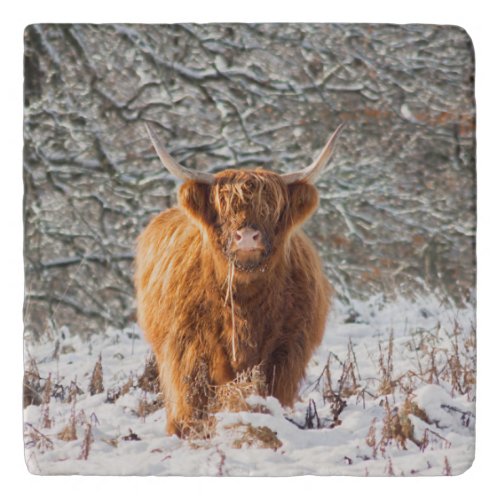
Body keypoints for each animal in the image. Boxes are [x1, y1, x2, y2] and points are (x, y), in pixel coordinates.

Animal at [135, 122, 342, 438]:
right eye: (224, 208)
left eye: (271, 209)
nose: (246, 237)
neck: (244, 301)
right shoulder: (187, 345)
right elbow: (193, 396)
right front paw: (188, 430)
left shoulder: (286, 348)